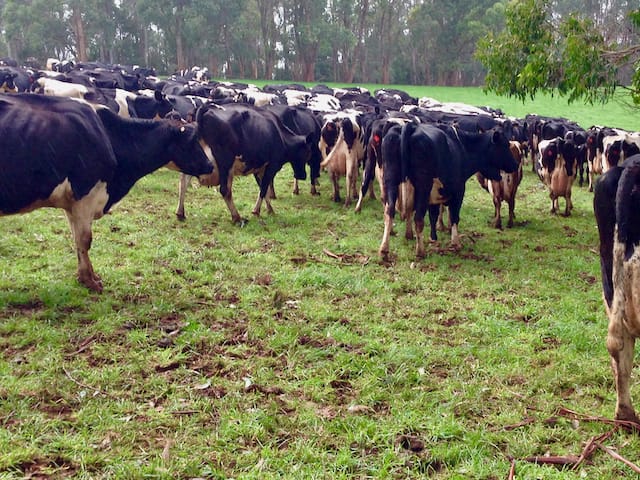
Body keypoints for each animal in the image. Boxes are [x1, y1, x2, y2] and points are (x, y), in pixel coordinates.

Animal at [0, 92, 215, 290]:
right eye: (192, 141)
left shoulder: (72, 203)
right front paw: (90, 281)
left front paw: (86, 276)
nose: (210, 165)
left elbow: (77, 239)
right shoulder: (86, 195)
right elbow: (85, 239)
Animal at [176, 103, 312, 223]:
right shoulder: (272, 166)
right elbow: (264, 188)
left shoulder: (258, 168)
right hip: (226, 163)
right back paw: (237, 217)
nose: (302, 175)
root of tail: (206, 108)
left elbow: (263, 189)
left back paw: (180, 213)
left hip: (196, 159)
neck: (281, 135)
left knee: (183, 182)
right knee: (225, 190)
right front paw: (257, 211)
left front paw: (269, 209)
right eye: (306, 153)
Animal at [398, 122, 516, 260]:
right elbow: (454, 216)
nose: (514, 164)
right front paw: (455, 242)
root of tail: (413, 127)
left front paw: (433, 238)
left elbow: (433, 216)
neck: (463, 147)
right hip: (423, 189)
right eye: (505, 145)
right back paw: (420, 251)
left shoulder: (434, 196)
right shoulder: (459, 191)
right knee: (418, 218)